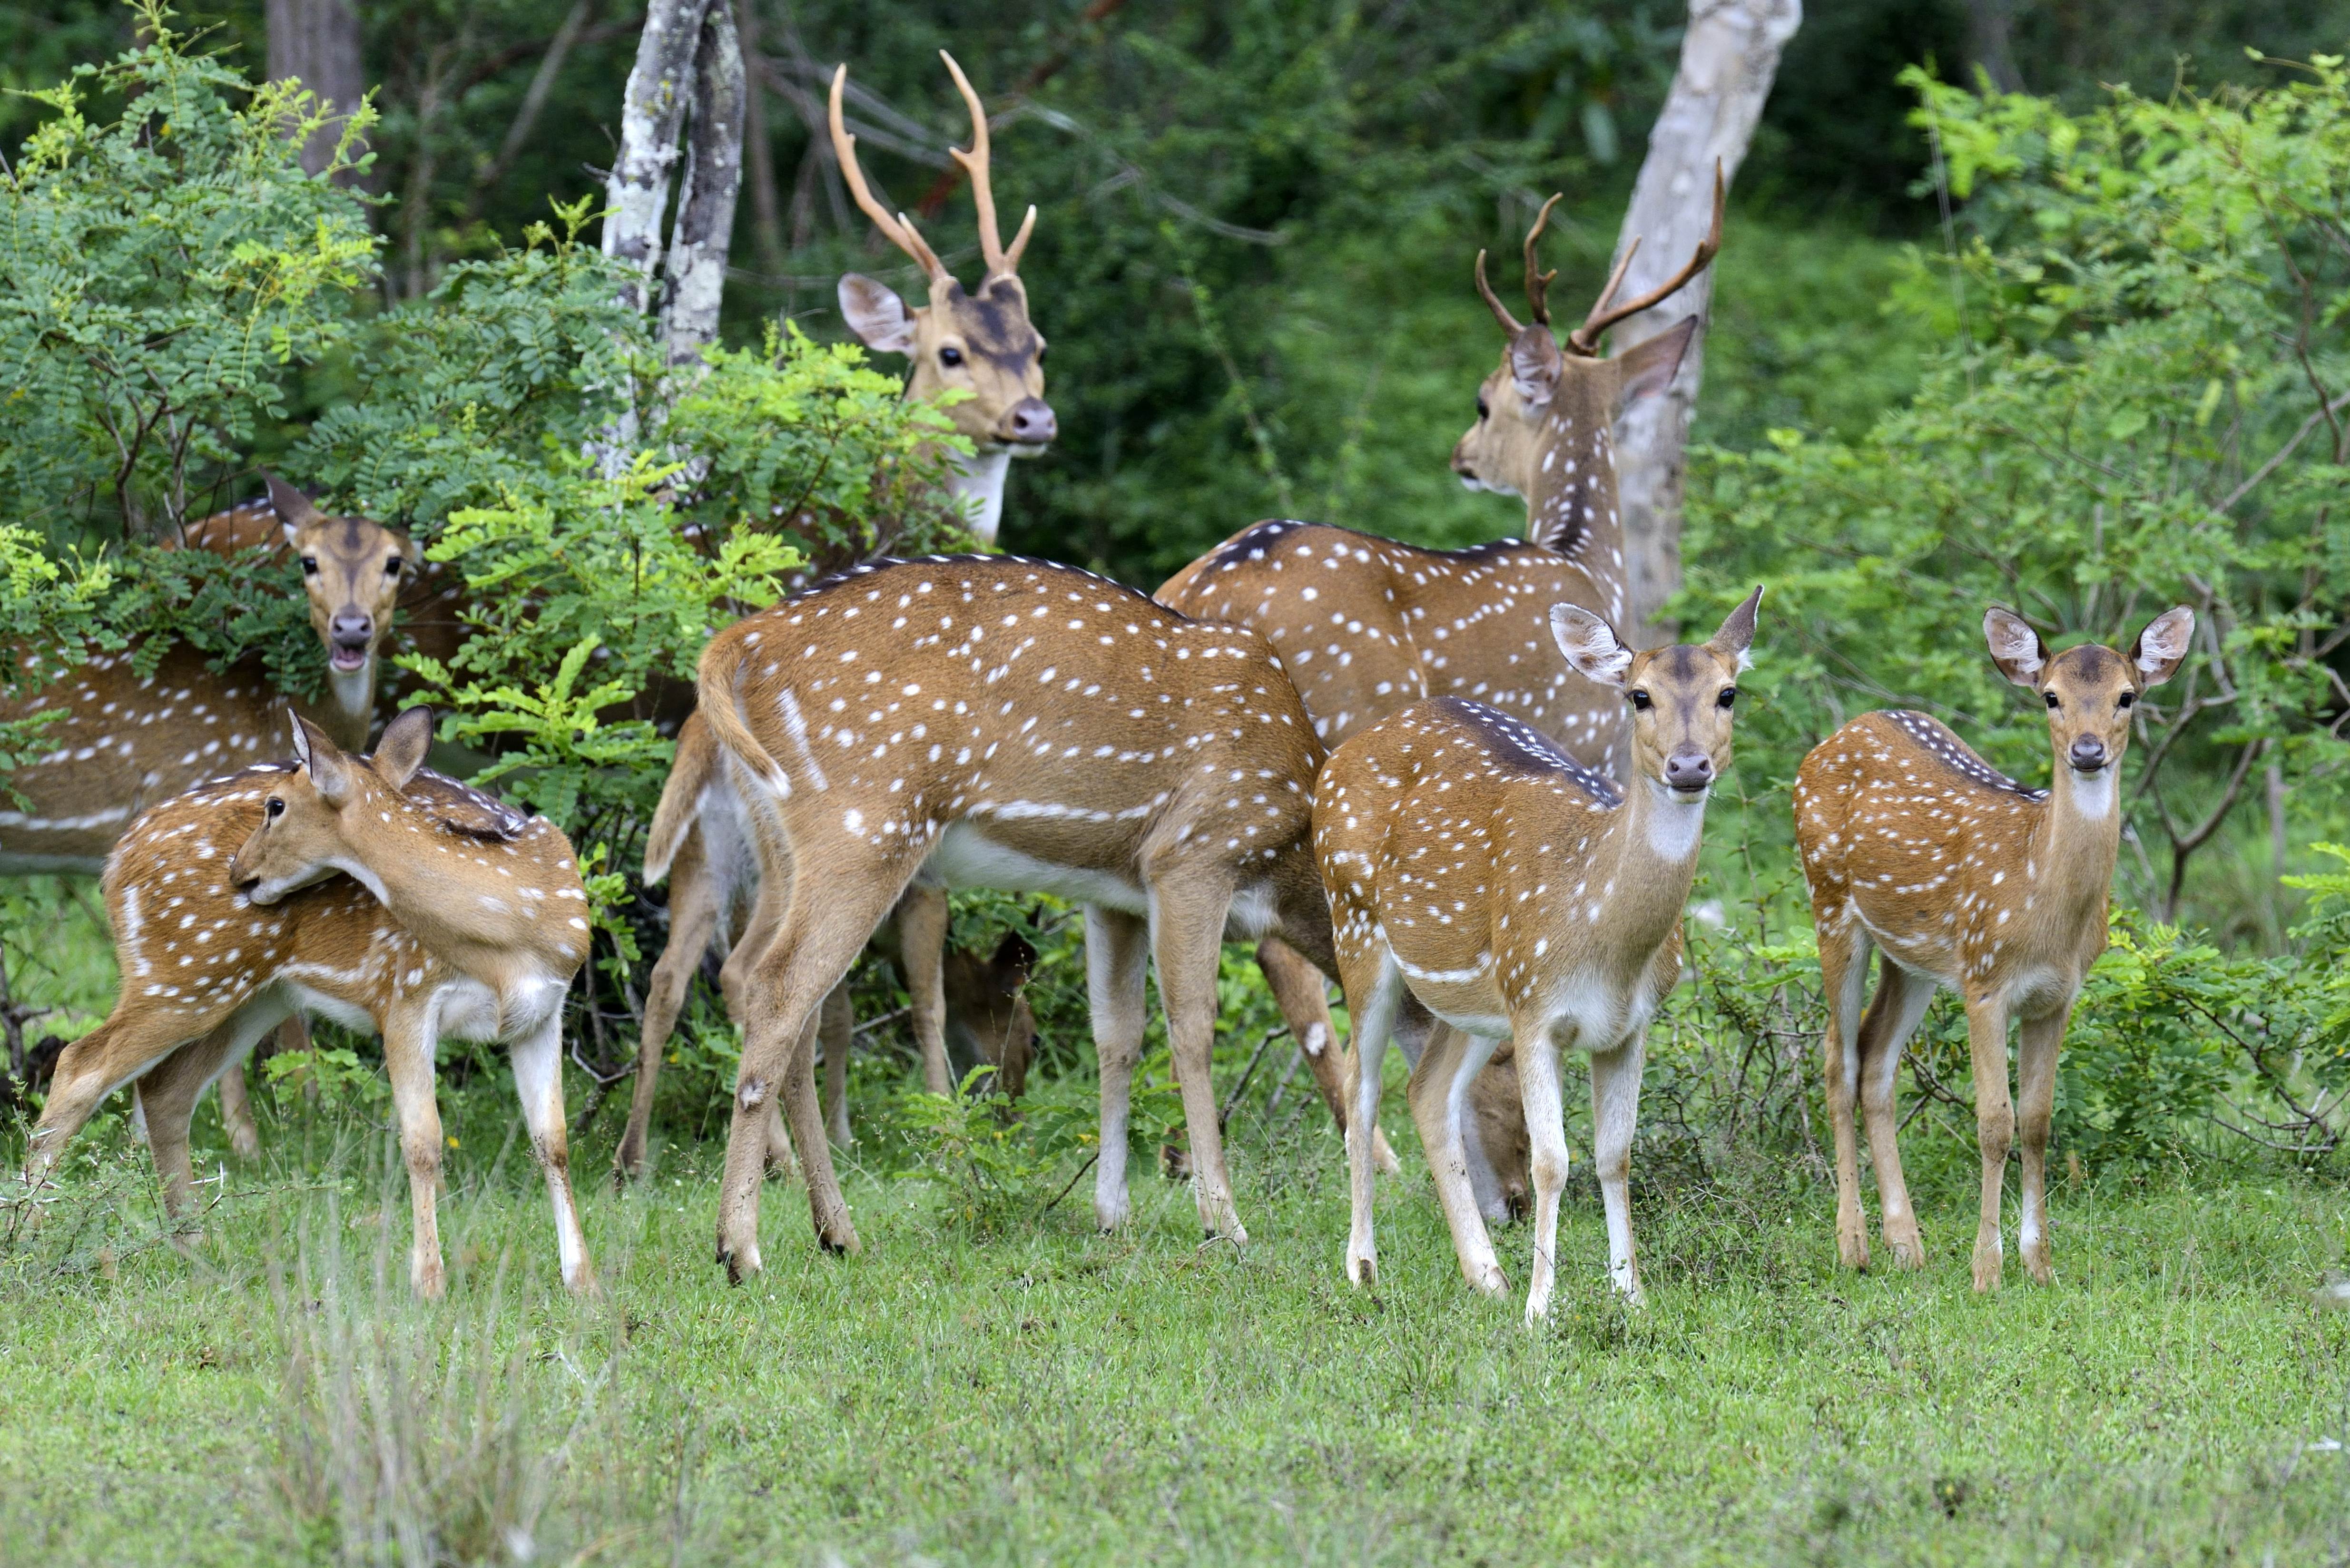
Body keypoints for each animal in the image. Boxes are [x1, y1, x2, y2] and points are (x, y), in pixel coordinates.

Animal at [21, 708, 596, 1297]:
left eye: (276, 805)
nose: (238, 870)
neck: (509, 944)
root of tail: (116, 860)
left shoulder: (543, 1013)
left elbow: (553, 1140)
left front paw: (584, 1283)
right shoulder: (404, 996)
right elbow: (423, 1142)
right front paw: (428, 1283)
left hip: (251, 995)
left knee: (165, 1089)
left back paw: (196, 1247)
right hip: (179, 974)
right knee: (79, 1064)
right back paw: (29, 1237)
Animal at [693, 554, 1340, 1276]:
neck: (1290, 857)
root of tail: (742, 643)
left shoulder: (1115, 893)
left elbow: (1117, 1033)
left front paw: (1111, 1213)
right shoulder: (1194, 854)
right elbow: (1192, 1028)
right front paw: (1223, 1222)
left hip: (785, 843)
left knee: (789, 998)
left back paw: (837, 1232)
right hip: (865, 820)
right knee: (778, 987)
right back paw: (740, 1248)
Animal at [1157, 172, 1725, 1218]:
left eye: (1482, 401)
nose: (1462, 453)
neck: (1584, 559)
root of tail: (1195, 590)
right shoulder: (1586, 748)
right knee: (1288, 952)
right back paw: (1376, 1158)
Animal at [1316, 588, 1762, 1322]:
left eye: (1728, 693)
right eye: (1638, 696)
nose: (1689, 765)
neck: (1606, 941)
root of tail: (1334, 759)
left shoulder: (1630, 1025)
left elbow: (1615, 1155)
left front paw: (1630, 1296)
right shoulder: (1535, 1008)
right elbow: (1551, 1160)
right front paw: (1540, 1307)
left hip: (1474, 997)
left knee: (1426, 1090)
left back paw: (1484, 1273)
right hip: (1353, 920)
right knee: (1360, 1087)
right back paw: (1362, 1266)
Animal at [1794, 605, 2194, 1292]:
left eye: (2127, 696)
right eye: (2051, 696)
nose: (2086, 751)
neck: (2042, 900)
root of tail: (1835, 736)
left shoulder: (2056, 995)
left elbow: (2036, 1121)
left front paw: (2040, 1264)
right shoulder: (1985, 981)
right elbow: (1992, 1123)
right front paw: (1986, 1268)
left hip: (1912, 958)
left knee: (1874, 1058)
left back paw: (1906, 1243)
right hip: (1829, 902)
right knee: (1835, 1057)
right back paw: (1853, 1245)